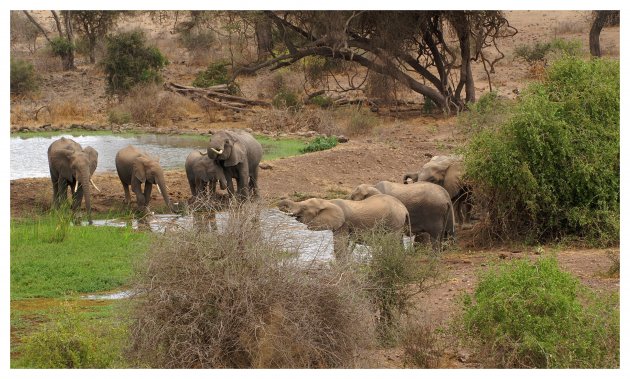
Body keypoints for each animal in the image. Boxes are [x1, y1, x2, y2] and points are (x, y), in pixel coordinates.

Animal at [278, 194, 412, 260]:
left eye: (304, 208)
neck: (328, 202)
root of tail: (404, 209)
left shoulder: (343, 224)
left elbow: (340, 245)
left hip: (394, 223)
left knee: (392, 242)